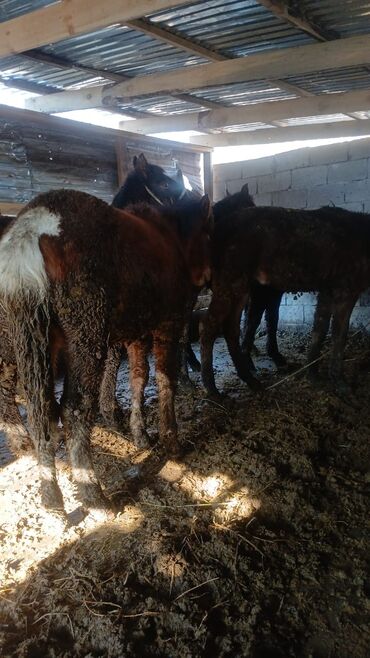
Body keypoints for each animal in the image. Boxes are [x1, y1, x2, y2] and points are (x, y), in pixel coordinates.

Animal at [0, 190, 211, 512]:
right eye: (208, 234)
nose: (207, 279)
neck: (169, 236)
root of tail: (29, 233)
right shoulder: (168, 324)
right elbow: (166, 381)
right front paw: (171, 442)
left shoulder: (137, 334)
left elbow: (139, 378)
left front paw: (140, 435)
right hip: (85, 337)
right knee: (74, 409)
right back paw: (92, 493)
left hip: (28, 337)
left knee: (38, 410)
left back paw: (50, 496)